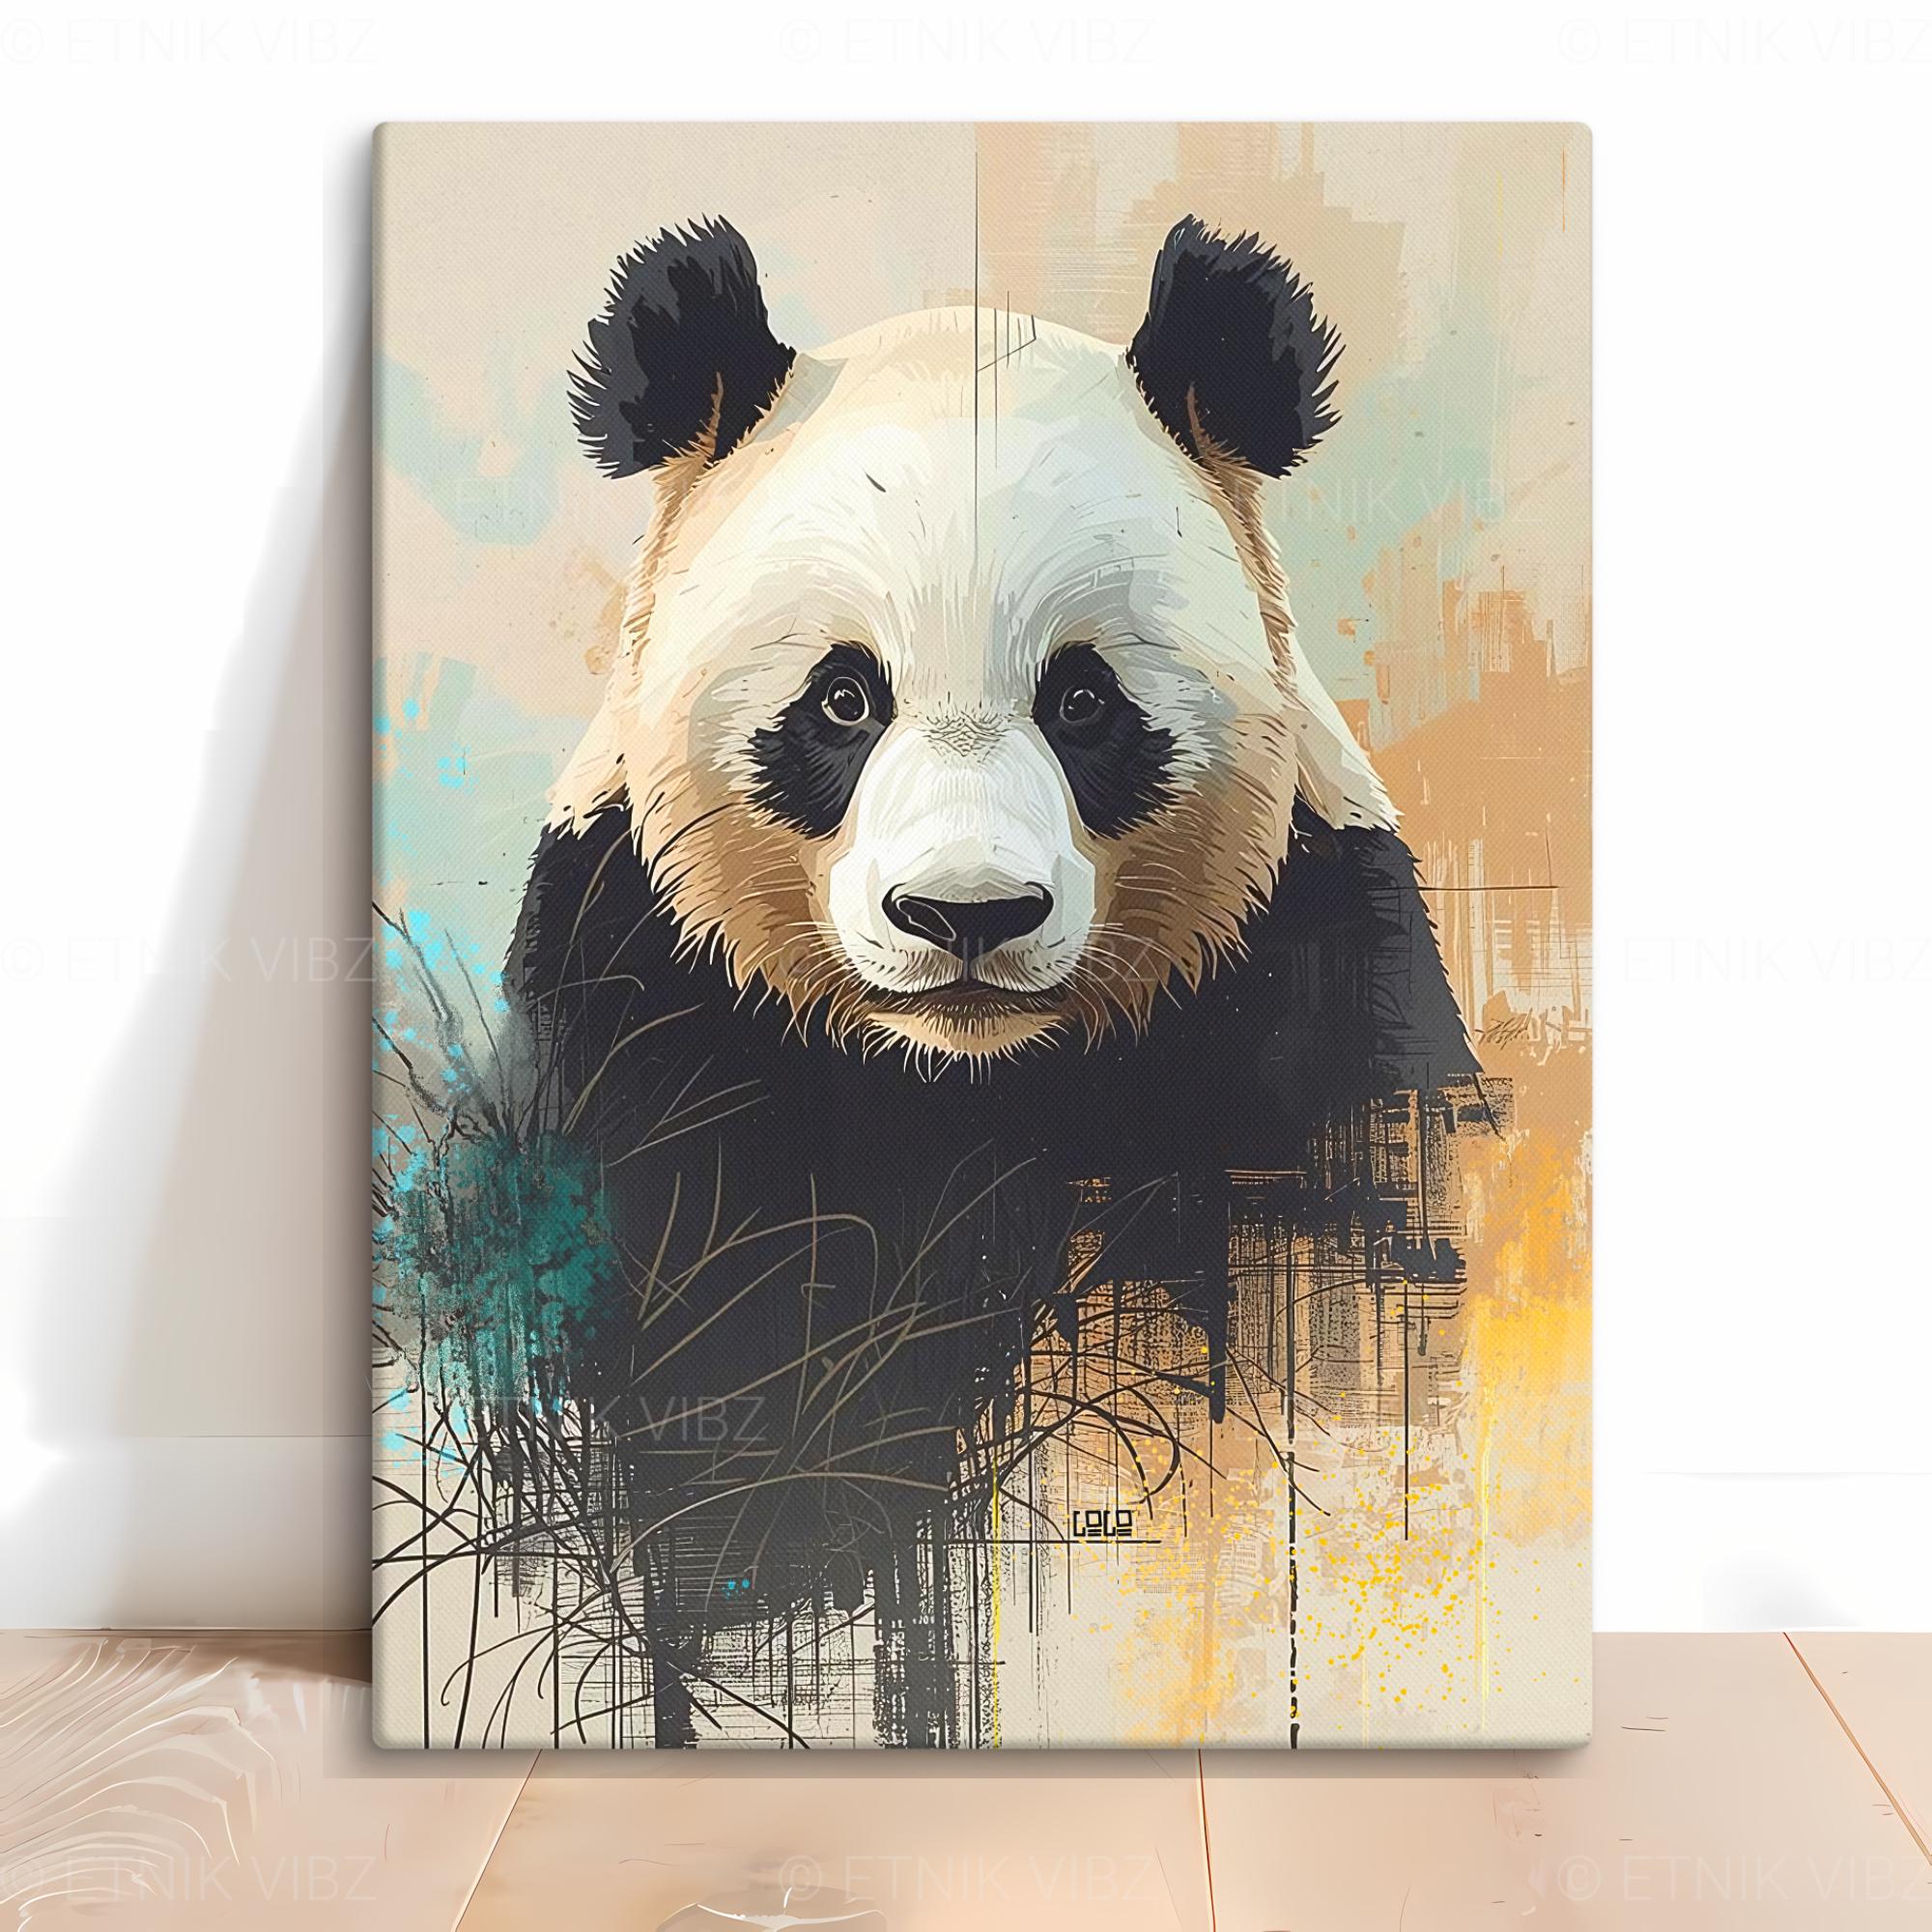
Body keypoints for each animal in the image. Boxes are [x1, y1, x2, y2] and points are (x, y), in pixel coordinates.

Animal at [508, 217, 1477, 1745]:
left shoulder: (1317, 971)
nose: (966, 914)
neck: (965, 1076)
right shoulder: (640, 992)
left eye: (1082, 701)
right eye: (843, 698)